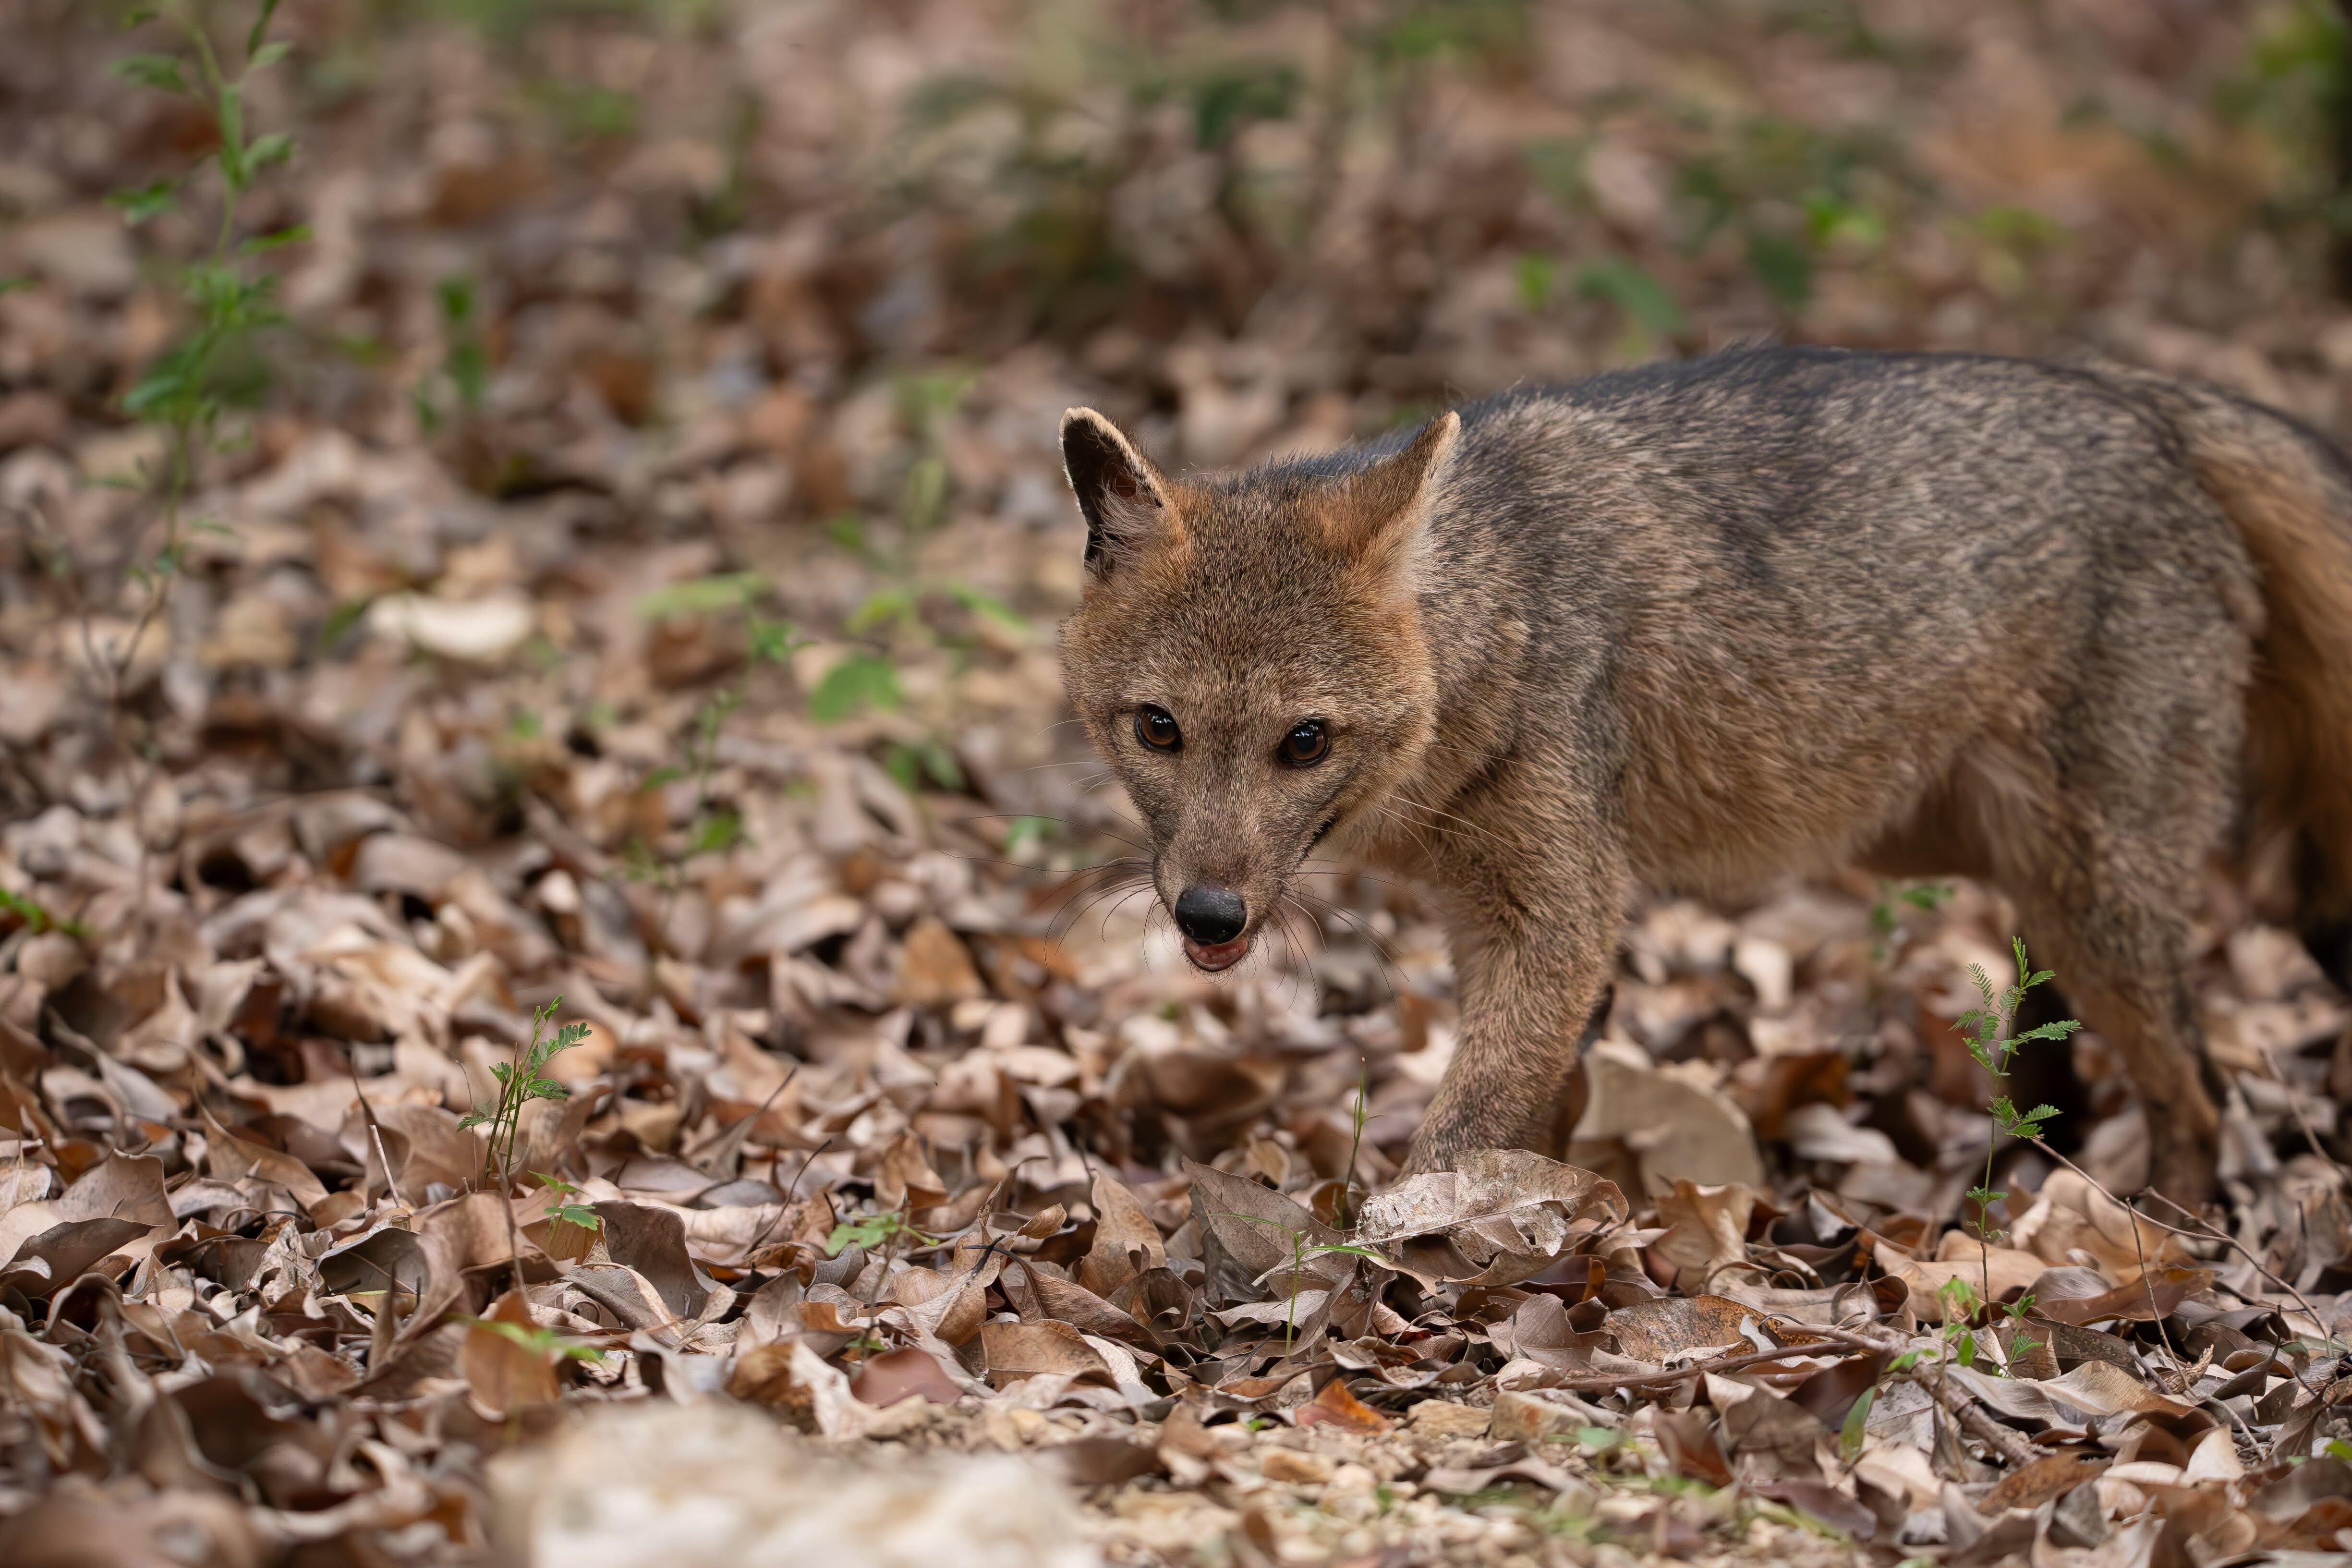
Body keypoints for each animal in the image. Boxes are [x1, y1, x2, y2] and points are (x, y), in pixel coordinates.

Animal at [1055, 346, 2352, 1209]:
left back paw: (2150, 1248)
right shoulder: (1524, 925)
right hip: (2005, 876)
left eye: (1305, 742)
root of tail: (2137, 396)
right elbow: (1533, 1119)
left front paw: (1398, 1259)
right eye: (1158, 729)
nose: (1208, 914)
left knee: (2202, 1094)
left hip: (2095, 902)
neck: (1505, 616)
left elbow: (1461, 1130)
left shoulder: (1562, 916)